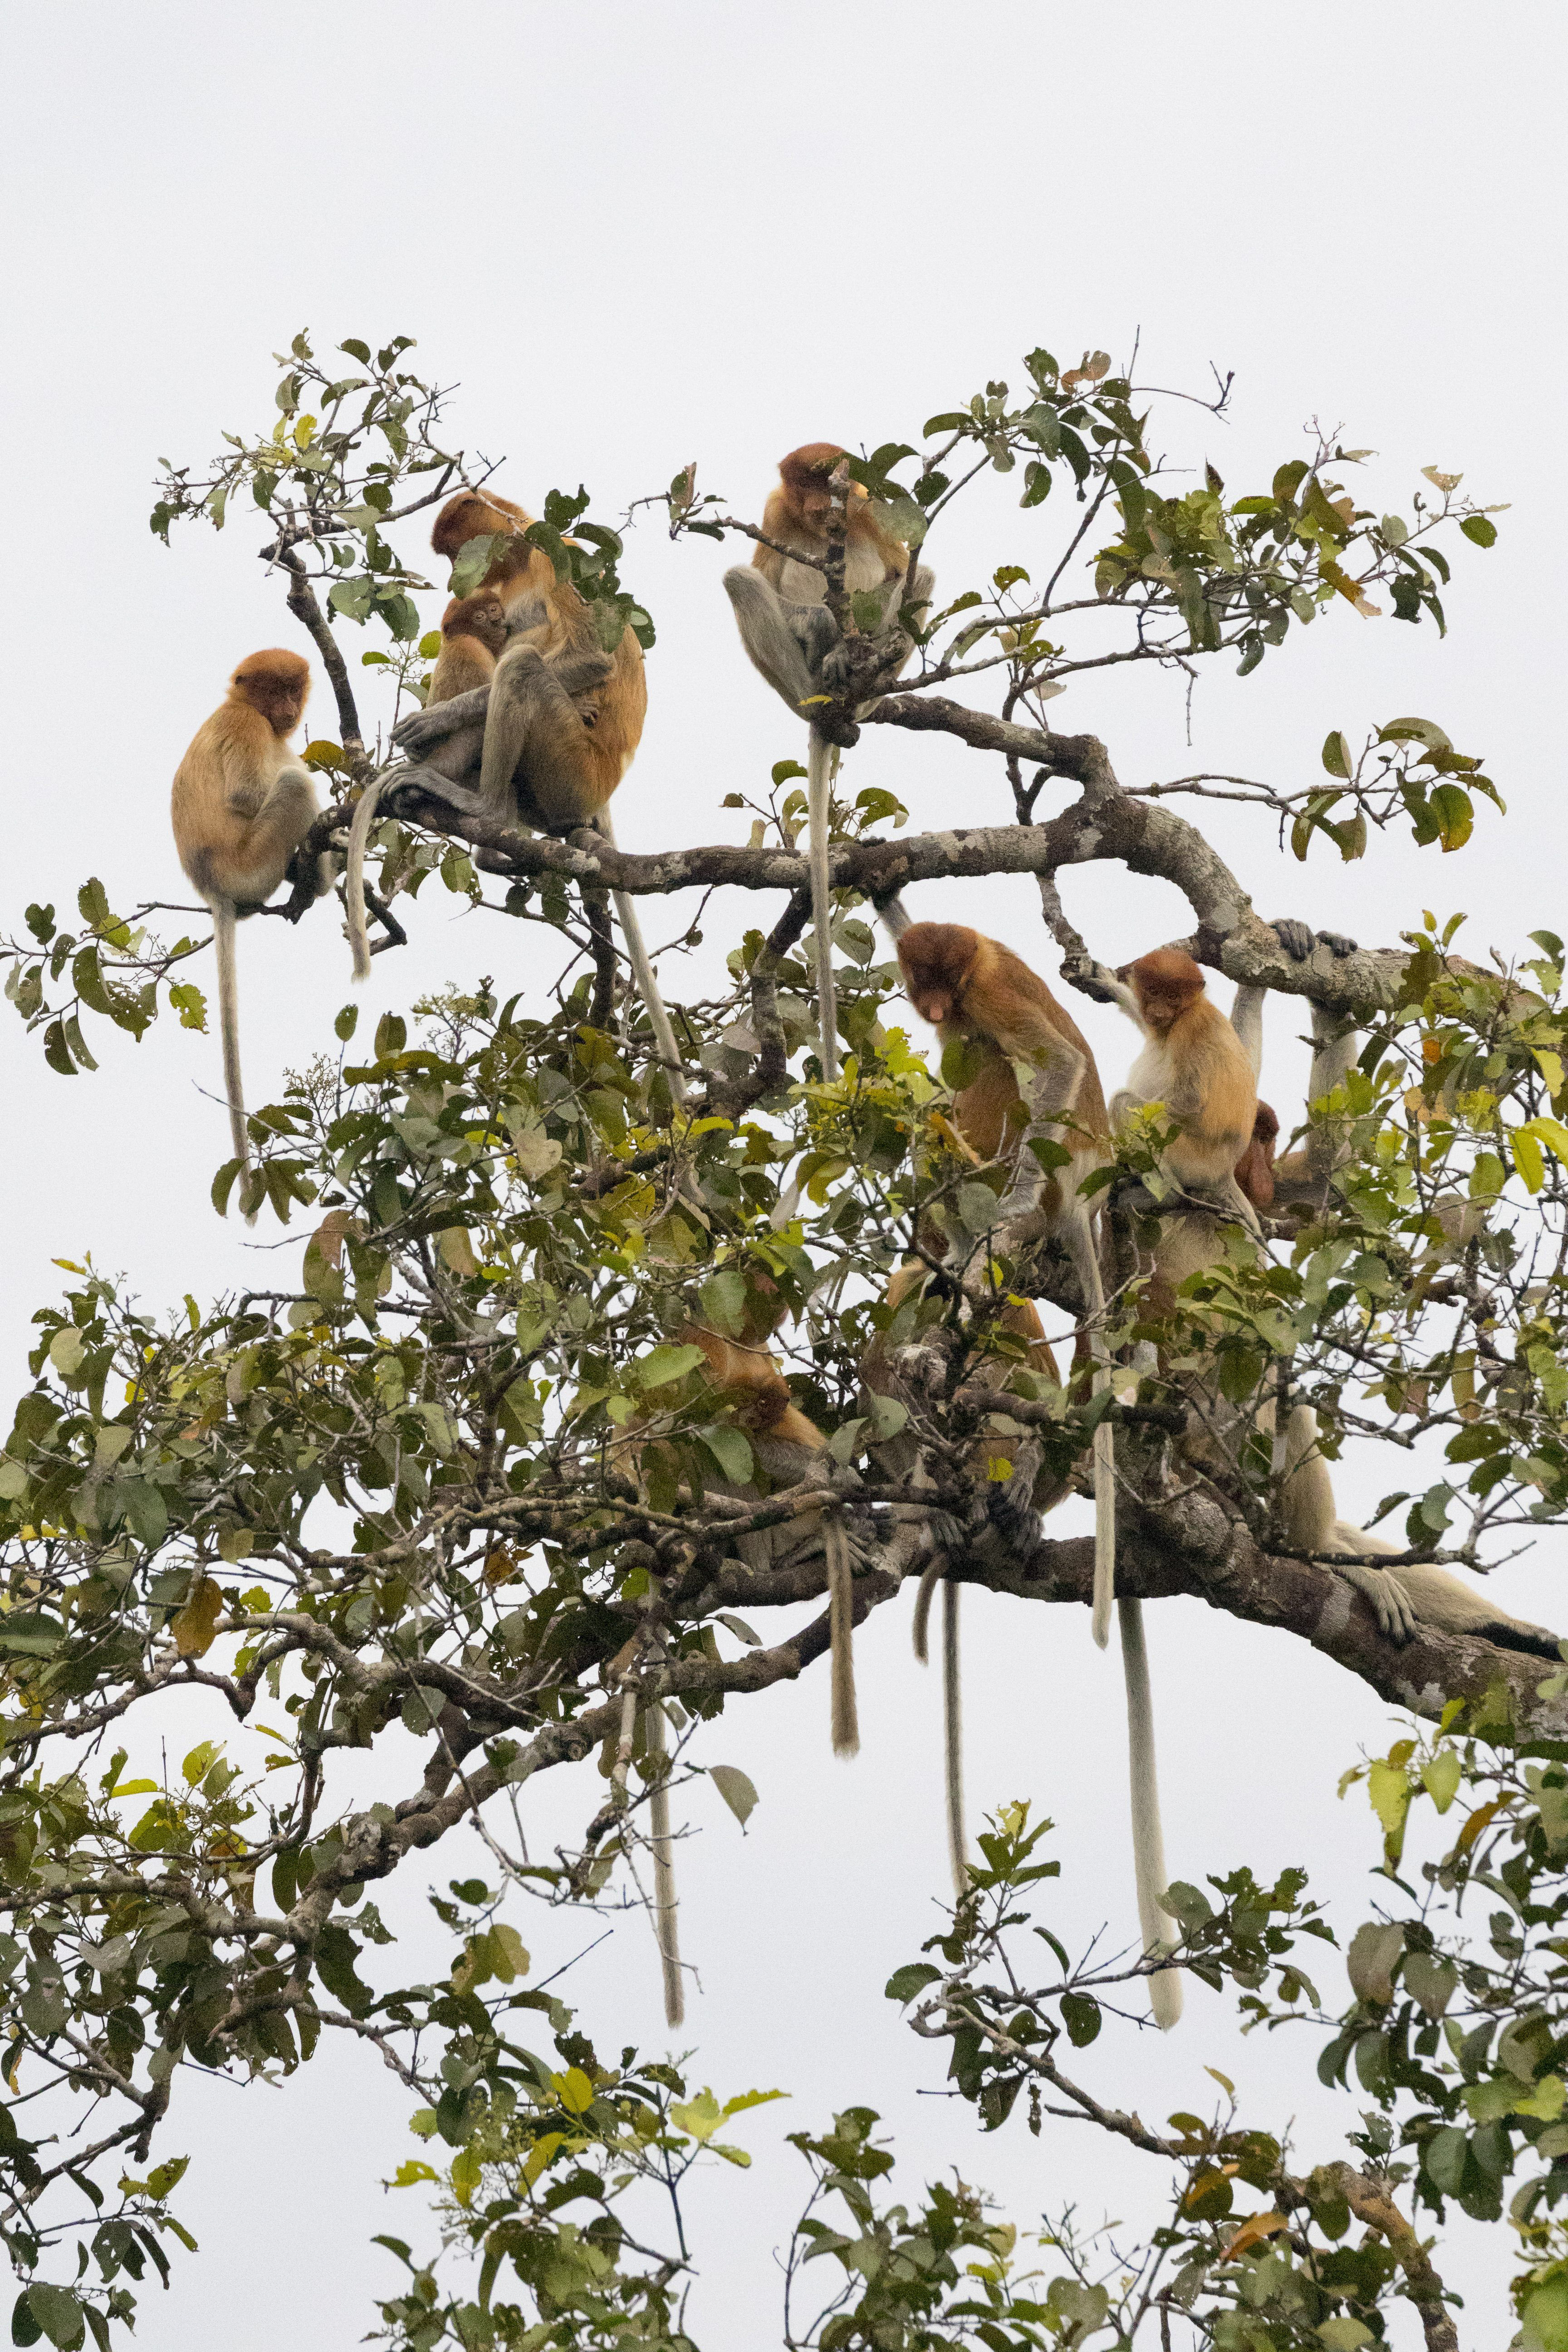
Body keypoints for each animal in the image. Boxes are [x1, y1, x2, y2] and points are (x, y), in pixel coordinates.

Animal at [170, 649, 333, 1200]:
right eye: (273, 690)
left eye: (293, 689)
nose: (287, 709)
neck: (242, 704)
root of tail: (213, 886)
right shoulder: (246, 725)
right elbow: (246, 795)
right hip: (252, 863)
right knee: (295, 783)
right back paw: (316, 877)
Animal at [725, 445, 934, 1084]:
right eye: (805, 487)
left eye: (830, 484)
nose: (823, 509)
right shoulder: (775, 512)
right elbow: (765, 577)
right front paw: (824, 630)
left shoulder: (875, 508)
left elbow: (907, 572)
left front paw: (852, 643)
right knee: (741, 580)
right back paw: (822, 688)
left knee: (920, 580)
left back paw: (856, 688)